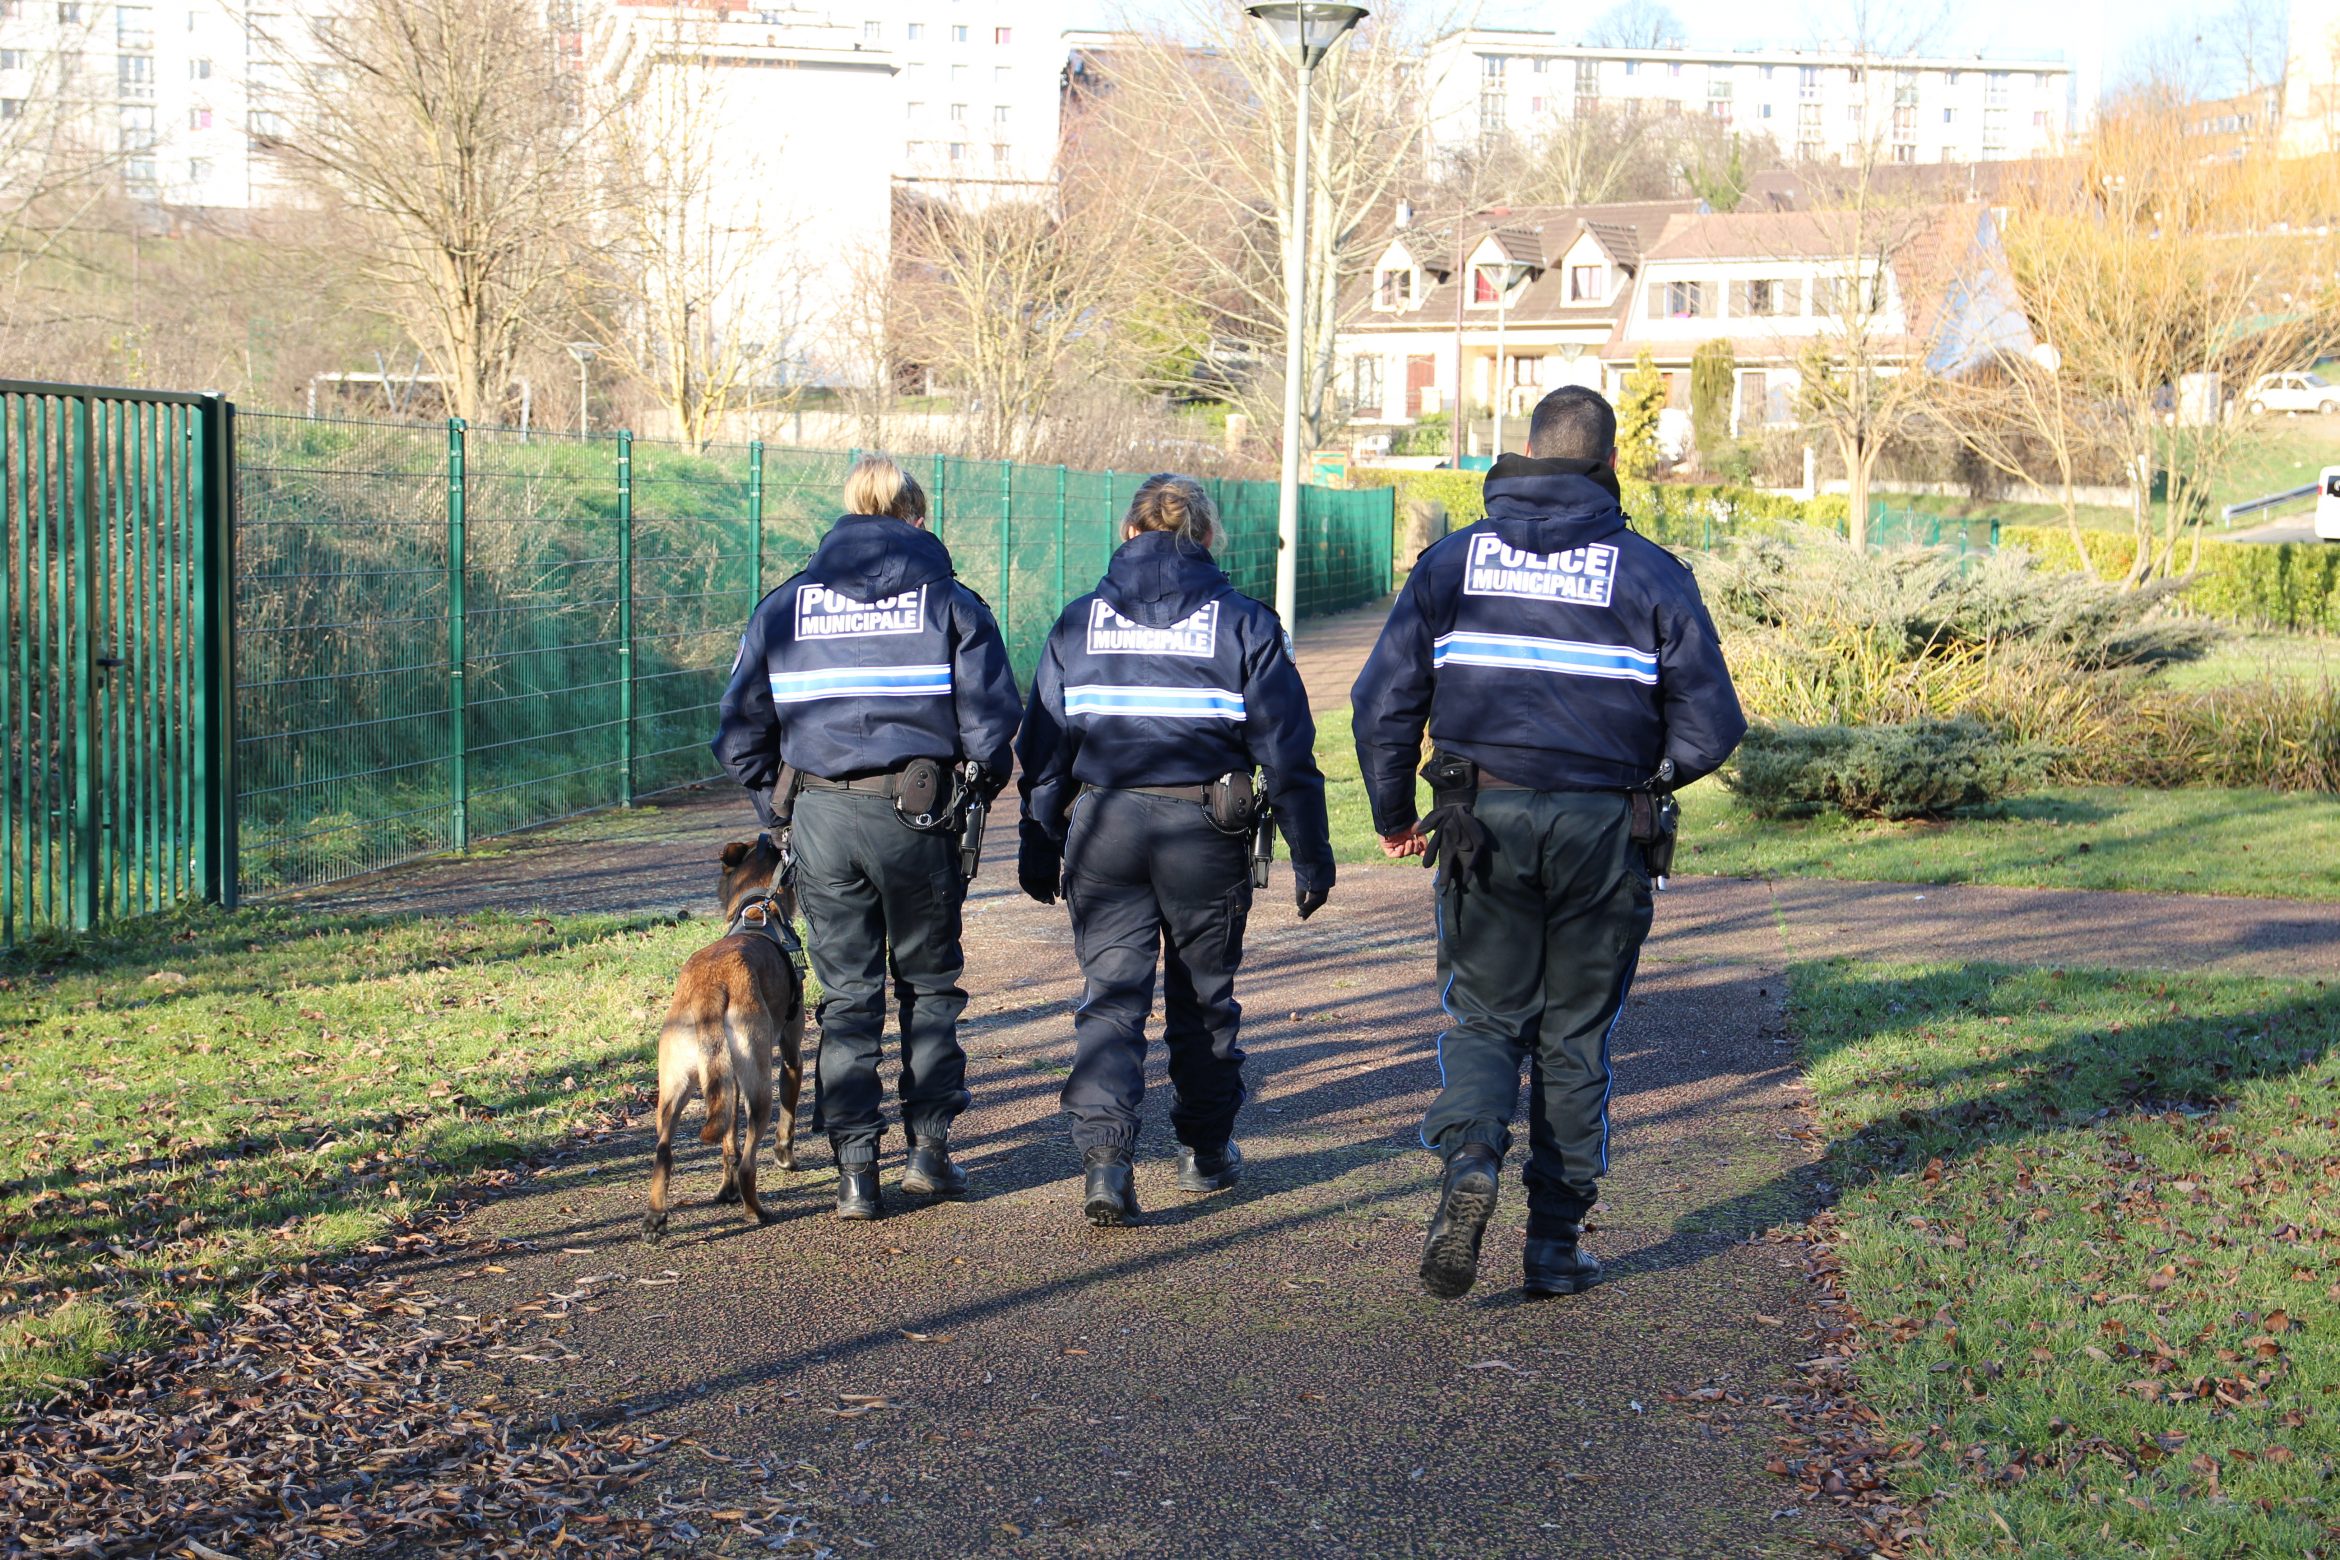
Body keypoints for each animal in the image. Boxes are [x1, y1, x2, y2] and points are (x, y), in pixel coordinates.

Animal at [645, 837, 809, 1234]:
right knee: (748, 1161)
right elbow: (788, 1118)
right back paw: (756, 1211)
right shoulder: (792, 1057)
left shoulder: (727, 1082)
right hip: (760, 1087)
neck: (759, 909)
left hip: (677, 1088)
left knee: (667, 1153)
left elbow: (727, 1144)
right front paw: (785, 1156)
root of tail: (711, 986)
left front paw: (726, 1190)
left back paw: (657, 1217)